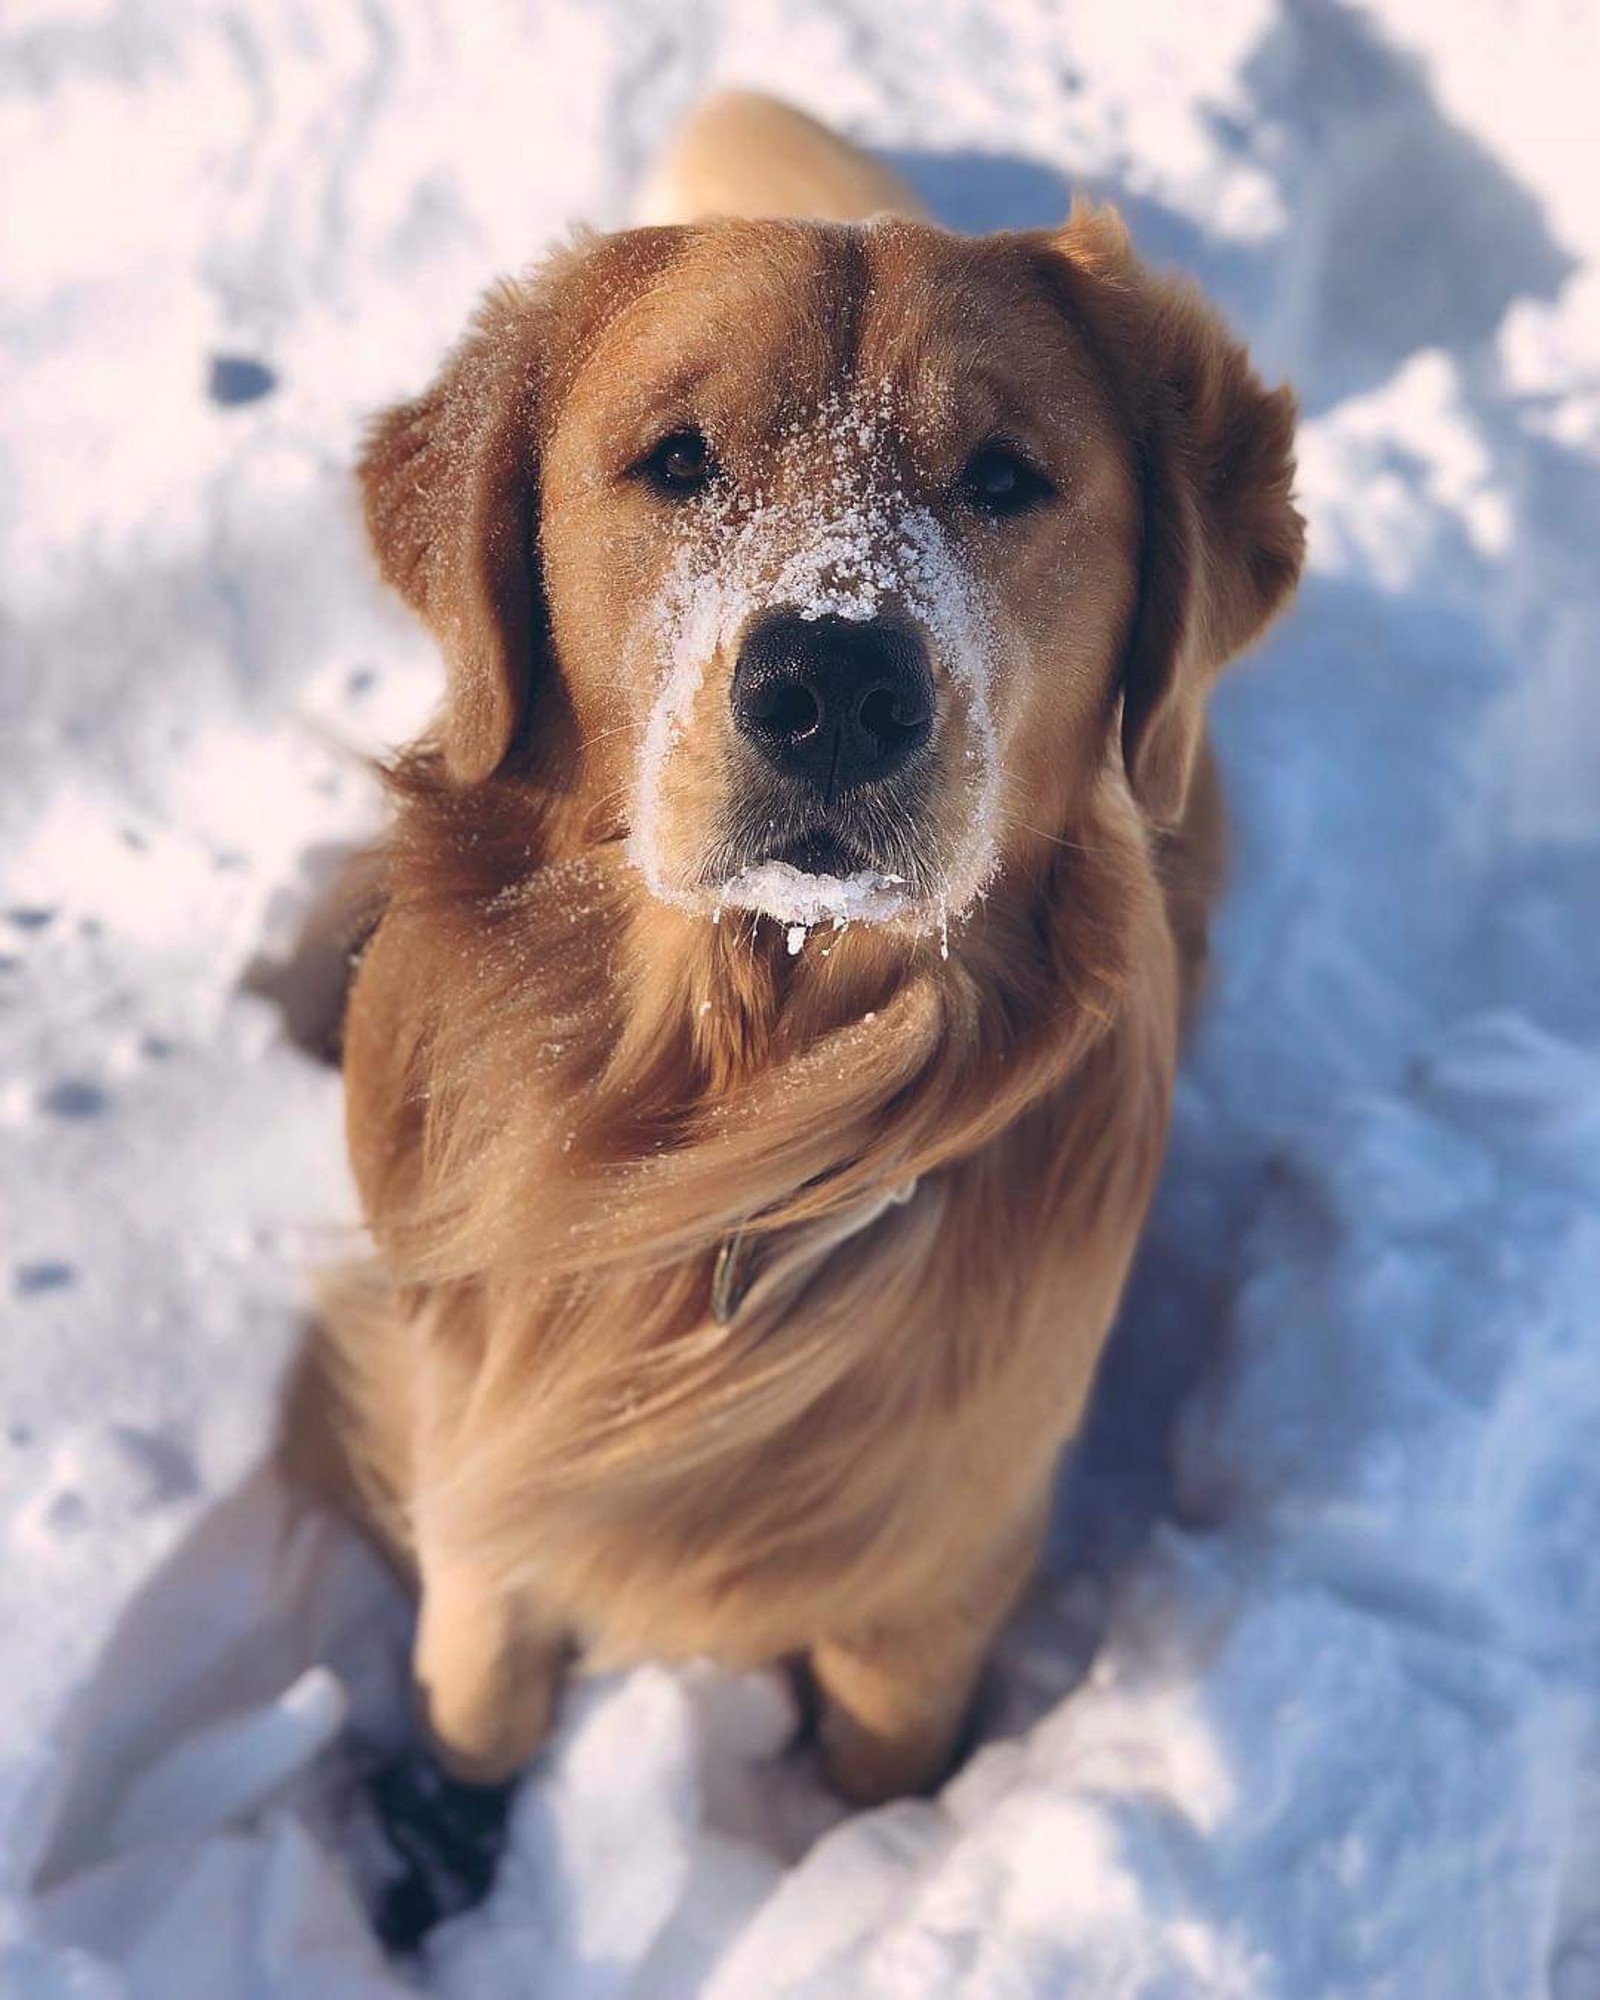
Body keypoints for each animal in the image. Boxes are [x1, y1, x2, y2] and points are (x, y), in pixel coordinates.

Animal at [288, 97, 1304, 1816]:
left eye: (1007, 477)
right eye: (679, 460)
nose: (833, 687)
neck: (744, 1122)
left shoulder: (936, 1580)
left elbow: (883, 1761)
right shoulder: (476, 1472)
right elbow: (473, 1686)